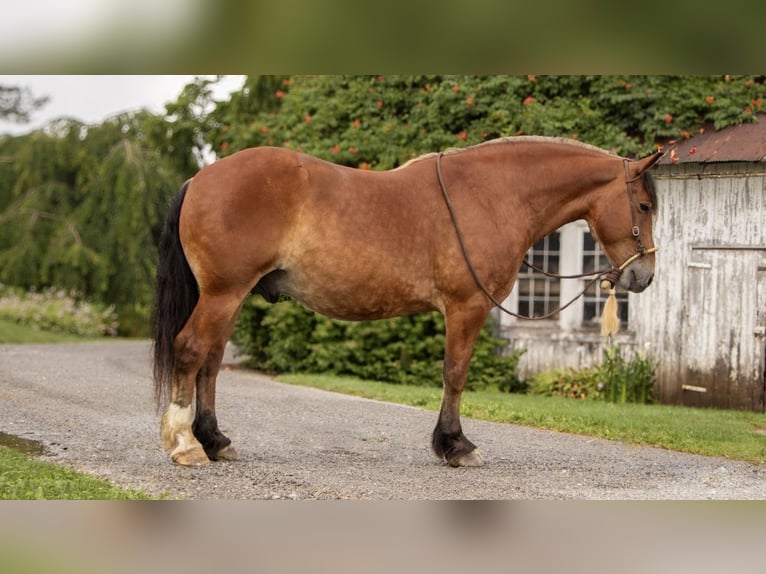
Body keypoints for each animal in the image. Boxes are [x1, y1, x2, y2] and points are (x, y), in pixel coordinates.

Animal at [153, 138, 664, 468]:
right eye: (644, 206)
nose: (644, 275)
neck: (491, 195)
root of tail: (201, 177)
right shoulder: (465, 307)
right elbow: (455, 374)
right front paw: (456, 446)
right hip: (223, 293)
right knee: (191, 350)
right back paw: (185, 444)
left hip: (229, 297)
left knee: (211, 362)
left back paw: (216, 441)